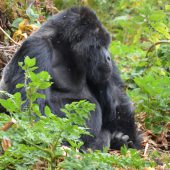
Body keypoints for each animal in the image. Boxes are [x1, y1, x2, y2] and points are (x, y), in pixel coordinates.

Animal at [0, 6, 140, 150]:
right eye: (98, 46)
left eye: (105, 45)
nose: (108, 58)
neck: (63, 46)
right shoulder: (36, 48)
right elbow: (30, 112)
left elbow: (118, 103)